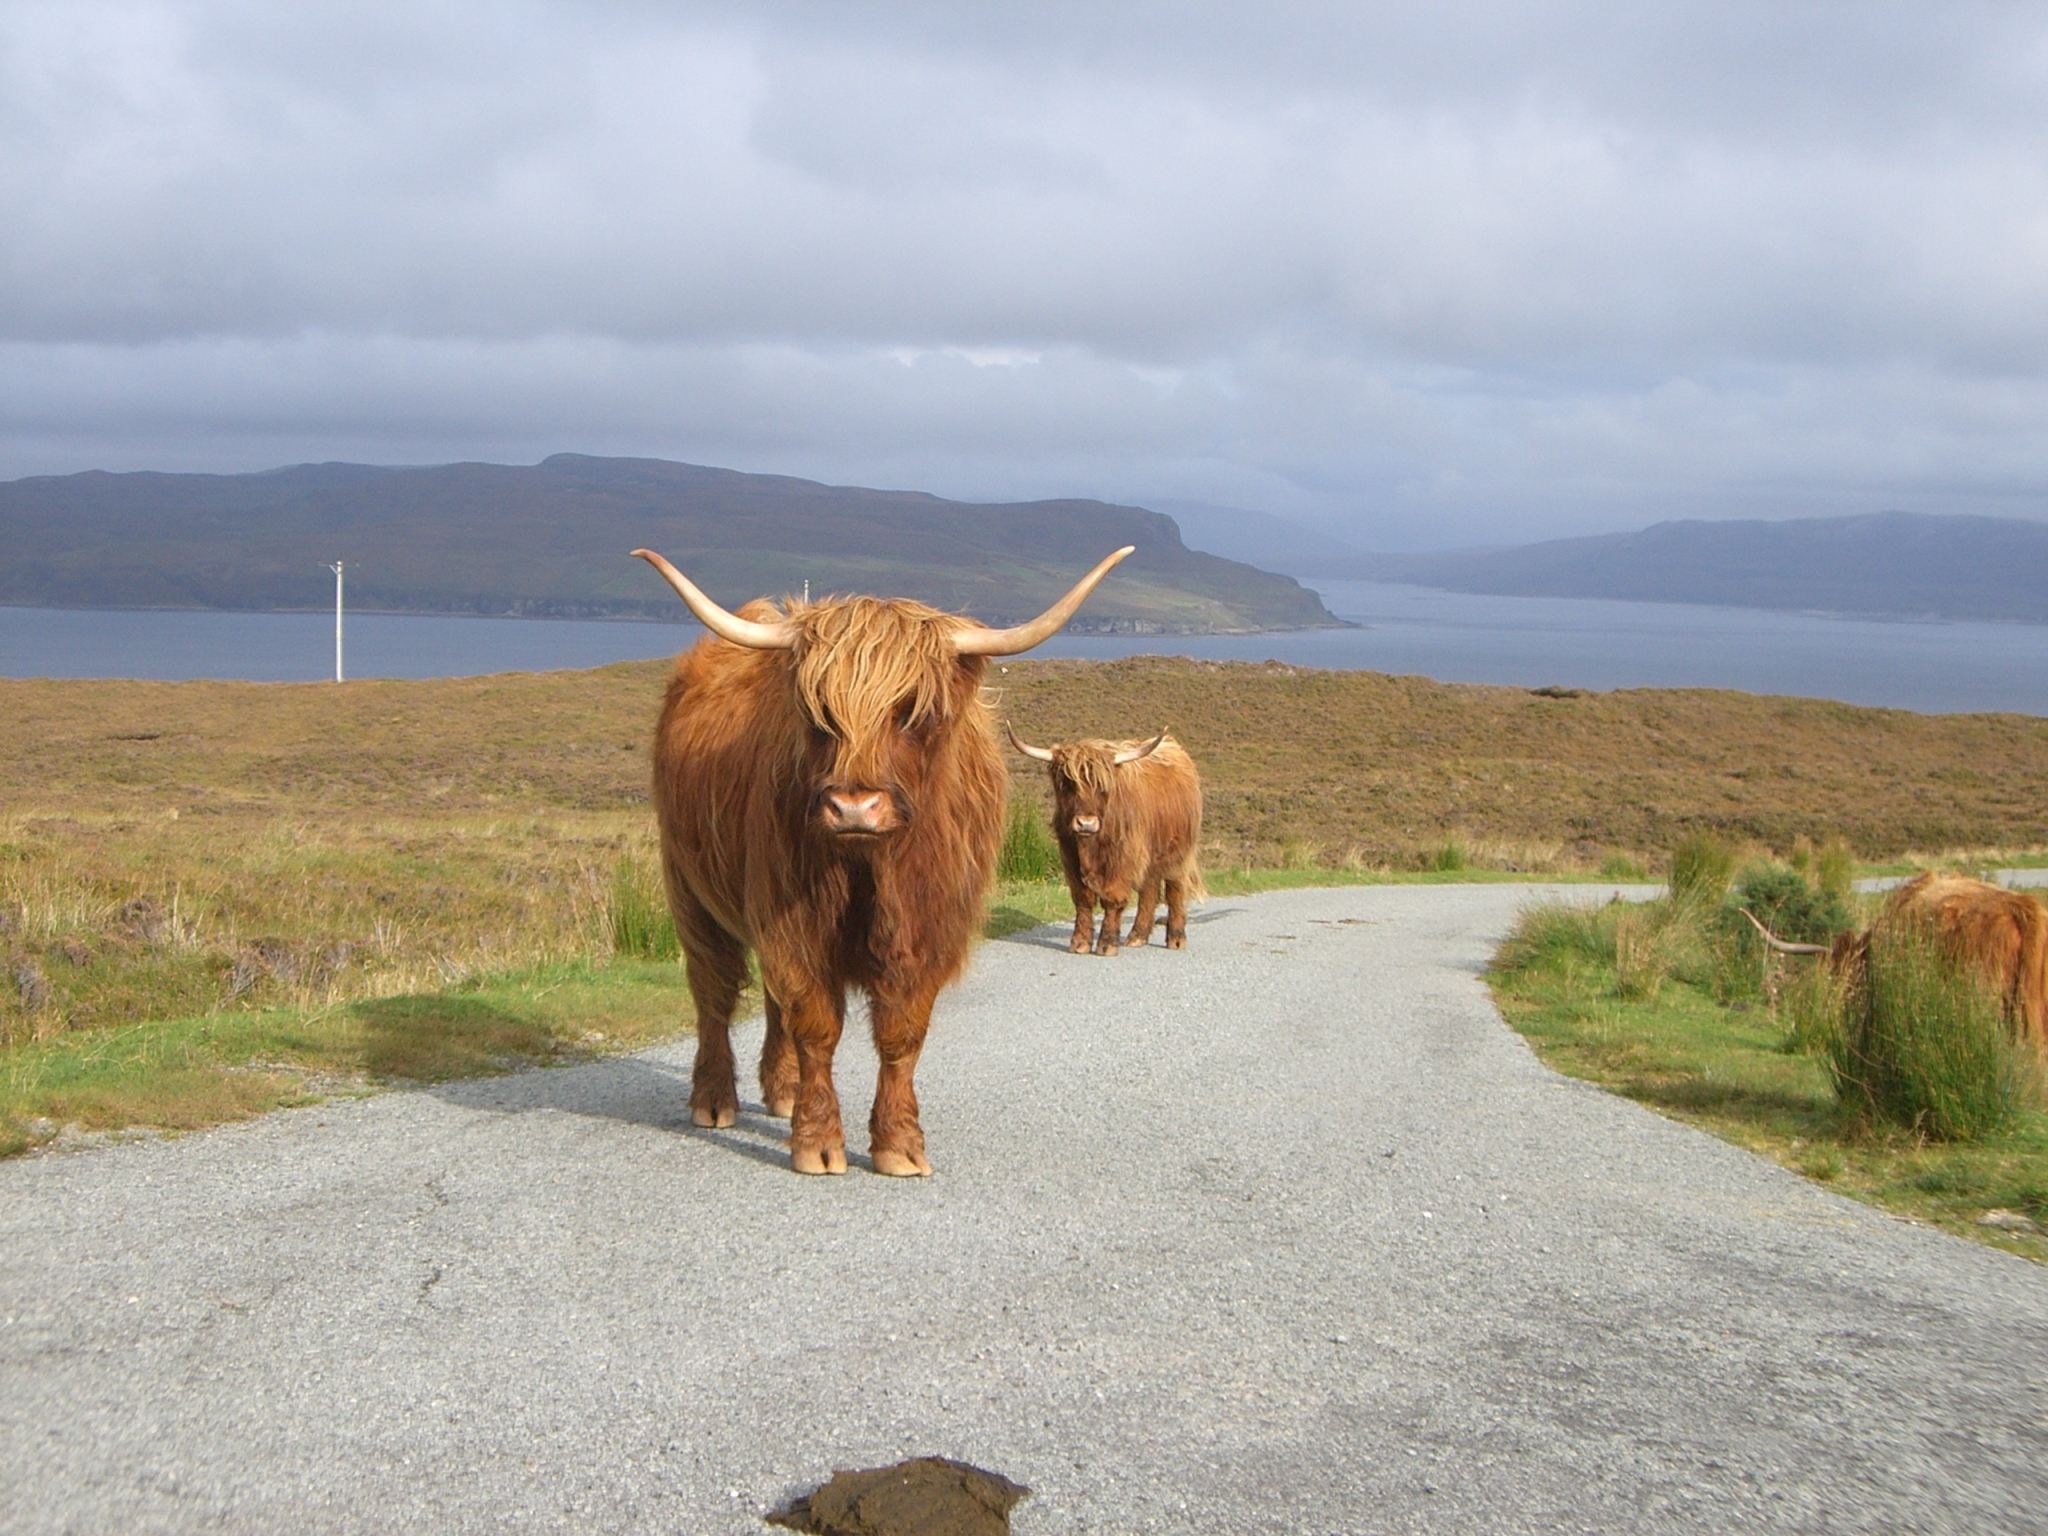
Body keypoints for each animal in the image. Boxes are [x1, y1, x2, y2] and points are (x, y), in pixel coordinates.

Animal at [630, 548, 1130, 1179]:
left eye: (912, 711)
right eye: (819, 713)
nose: (853, 807)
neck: (873, 866)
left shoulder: (926, 930)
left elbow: (901, 1034)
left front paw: (898, 1143)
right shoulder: (796, 923)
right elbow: (816, 1026)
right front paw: (818, 1141)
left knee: (766, 997)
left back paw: (782, 1091)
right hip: (689, 889)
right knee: (713, 992)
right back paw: (714, 1099)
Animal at [1003, 729, 1196, 958]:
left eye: (1103, 787)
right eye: (1068, 783)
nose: (1086, 823)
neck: (1090, 847)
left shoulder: (1121, 860)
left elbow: (1113, 899)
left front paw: (1107, 944)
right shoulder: (1069, 856)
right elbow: (1083, 899)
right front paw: (1080, 943)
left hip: (1178, 854)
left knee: (1175, 891)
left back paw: (1176, 938)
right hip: (1150, 857)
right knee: (1149, 890)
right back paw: (1137, 936)